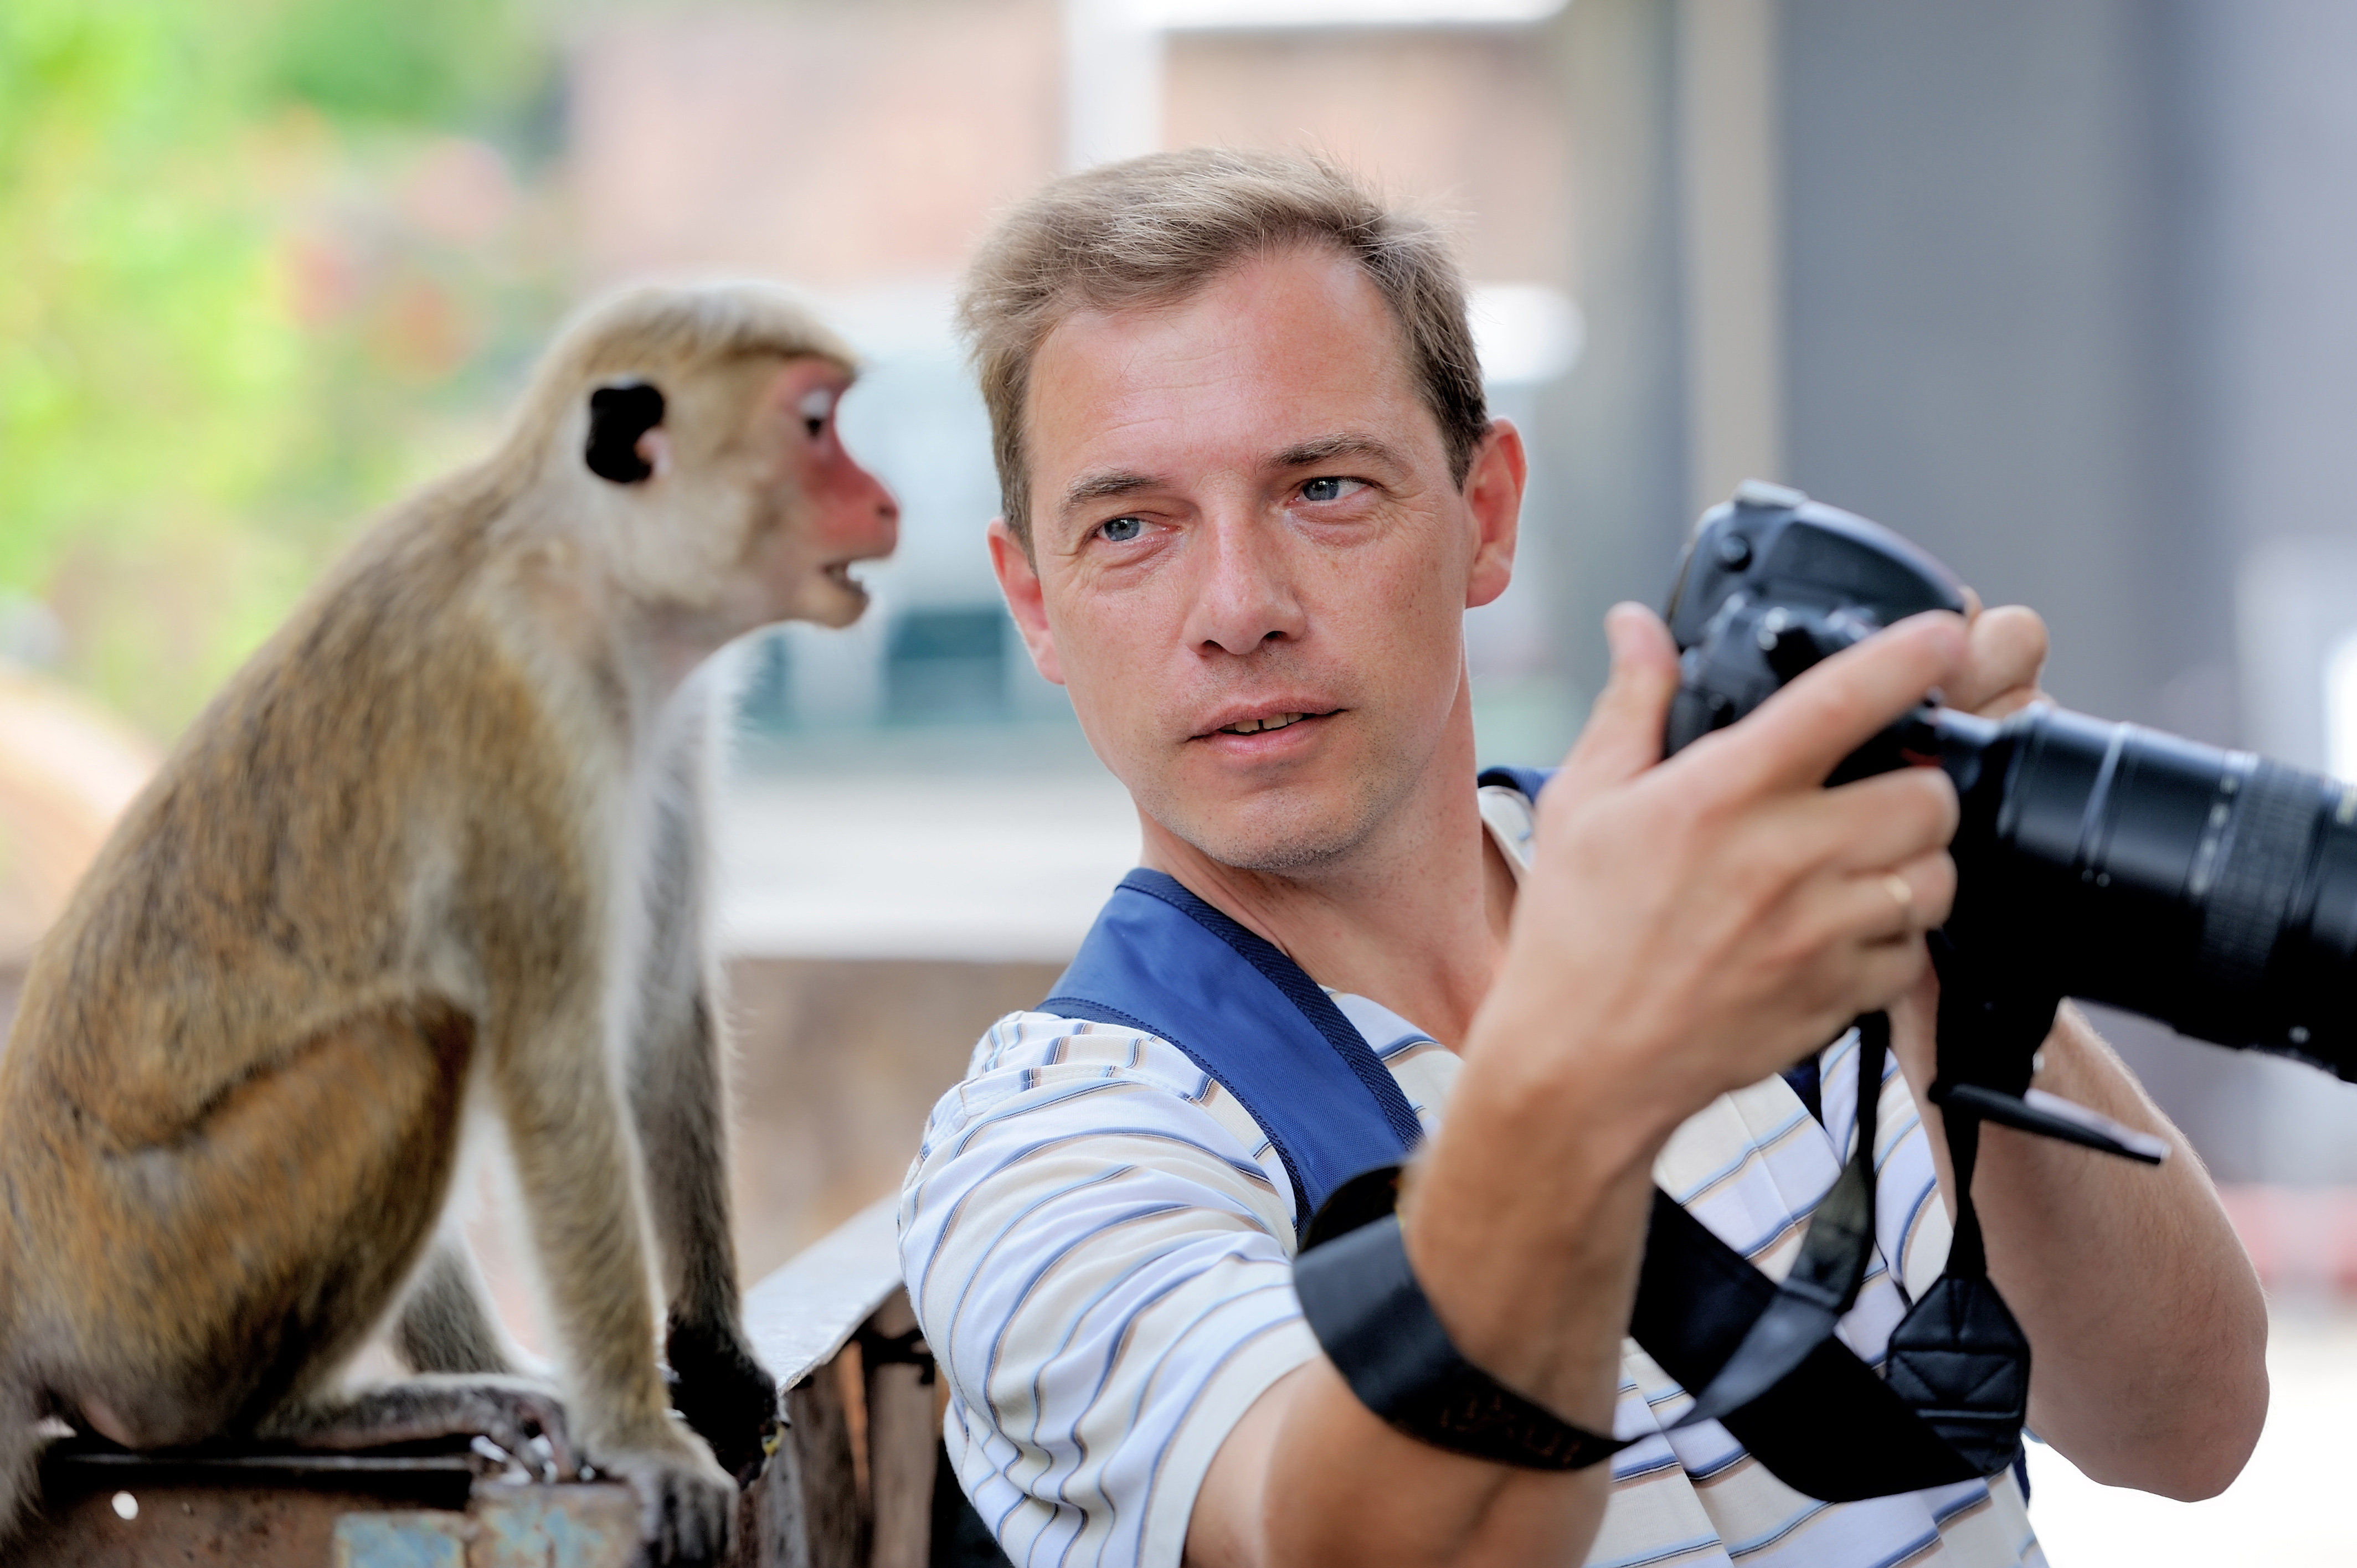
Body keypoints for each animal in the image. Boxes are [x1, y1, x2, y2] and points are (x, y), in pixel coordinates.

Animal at [0, 278, 900, 1556]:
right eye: (816, 424)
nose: (883, 500)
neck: (582, 569)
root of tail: (25, 1287)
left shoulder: (664, 716)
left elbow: (656, 1013)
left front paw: (714, 1363)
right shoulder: (525, 723)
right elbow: (556, 1061)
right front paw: (641, 1435)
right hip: (153, 1279)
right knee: (421, 1035)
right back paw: (288, 1419)